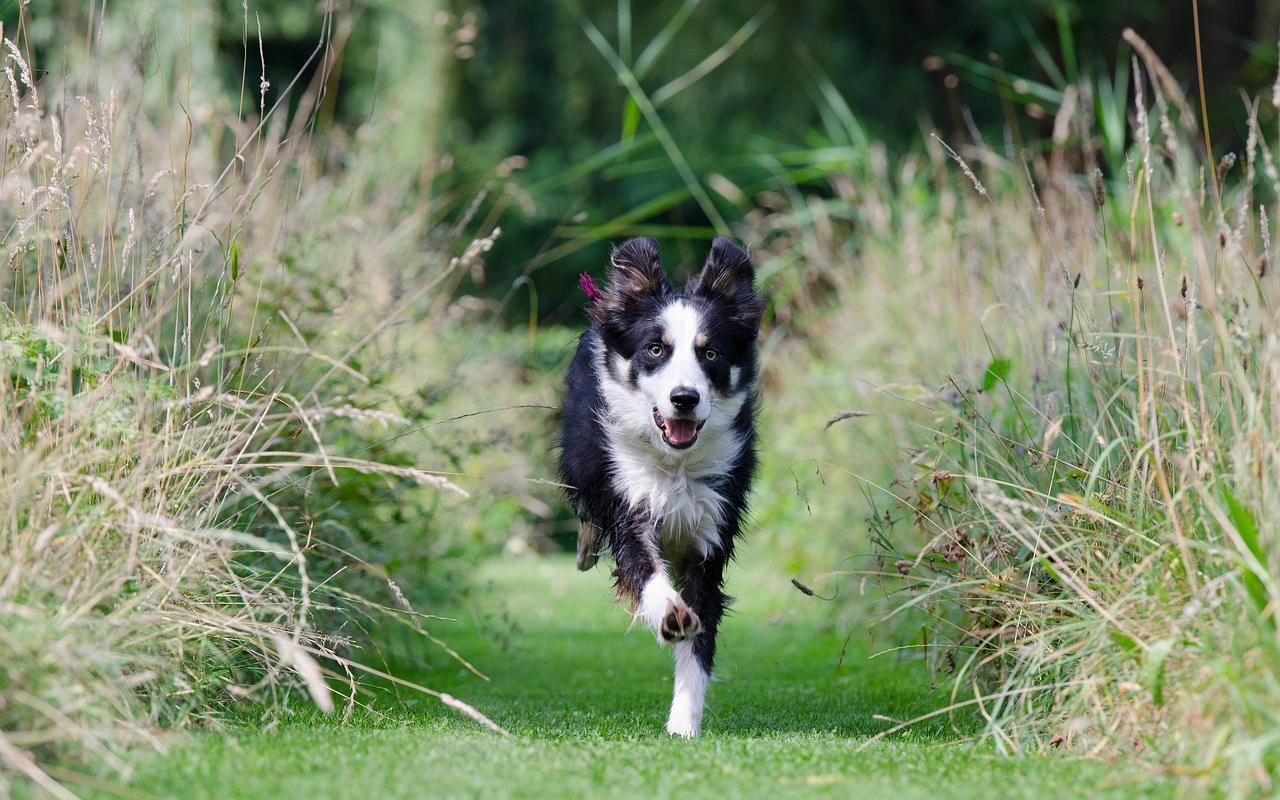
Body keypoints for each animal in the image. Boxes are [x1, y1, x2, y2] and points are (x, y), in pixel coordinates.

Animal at [558, 235, 757, 737]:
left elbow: (699, 638)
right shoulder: (628, 499)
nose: (684, 398)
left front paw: (683, 722)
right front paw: (668, 613)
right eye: (654, 350)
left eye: (711, 353)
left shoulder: (711, 527)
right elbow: (643, 566)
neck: (675, 465)